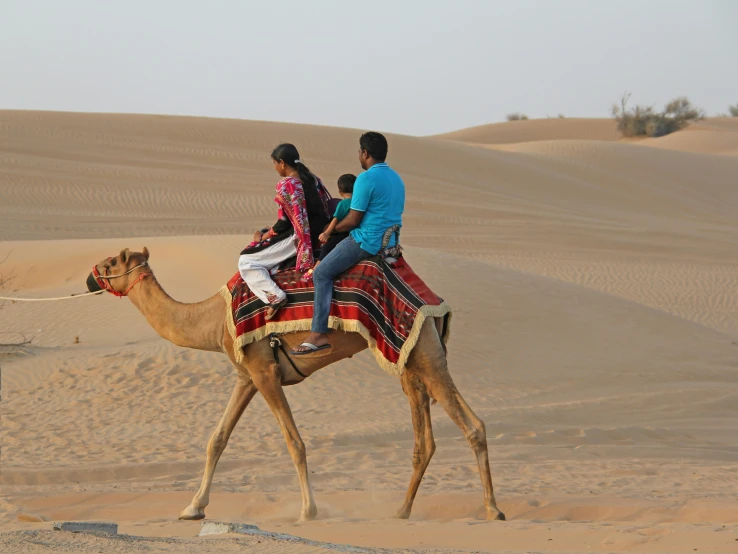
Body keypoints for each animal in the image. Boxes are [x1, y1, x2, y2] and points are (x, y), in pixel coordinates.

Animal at [85, 248, 500, 520]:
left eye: (111, 263)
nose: (90, 278)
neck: (214, 319)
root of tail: (432, 300)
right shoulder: (247, 375)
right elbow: (217, 439)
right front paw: (192, 507)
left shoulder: (265, 372)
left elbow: (294, 442)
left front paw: (308, 511)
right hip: (410, 359)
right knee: (427, 438)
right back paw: (402, 510)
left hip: (421, 352)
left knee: (471, 425)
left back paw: (492, 509)